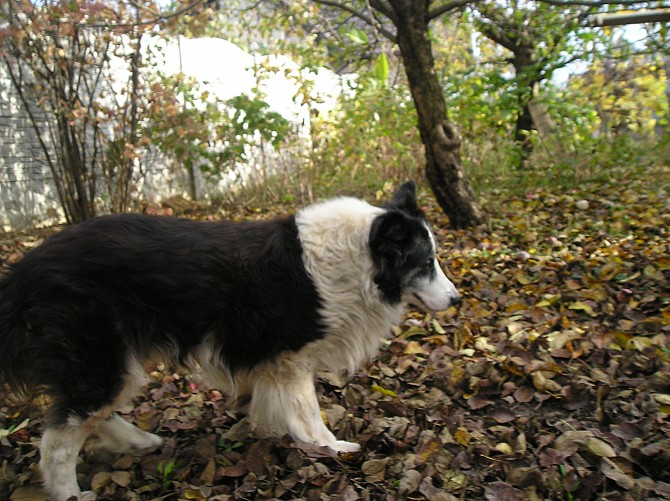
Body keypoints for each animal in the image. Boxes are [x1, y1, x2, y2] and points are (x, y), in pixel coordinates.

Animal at [0, 181, 462, 500]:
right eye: (425, 263)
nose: (457, 299)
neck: (357, 257)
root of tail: (23, 270)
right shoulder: (290, 356)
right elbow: (307, 409)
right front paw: (331, 447)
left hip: (113, 361)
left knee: (89, 415)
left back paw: (140, 442)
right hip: (98, 357)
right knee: (58, 440)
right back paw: (71, 492)